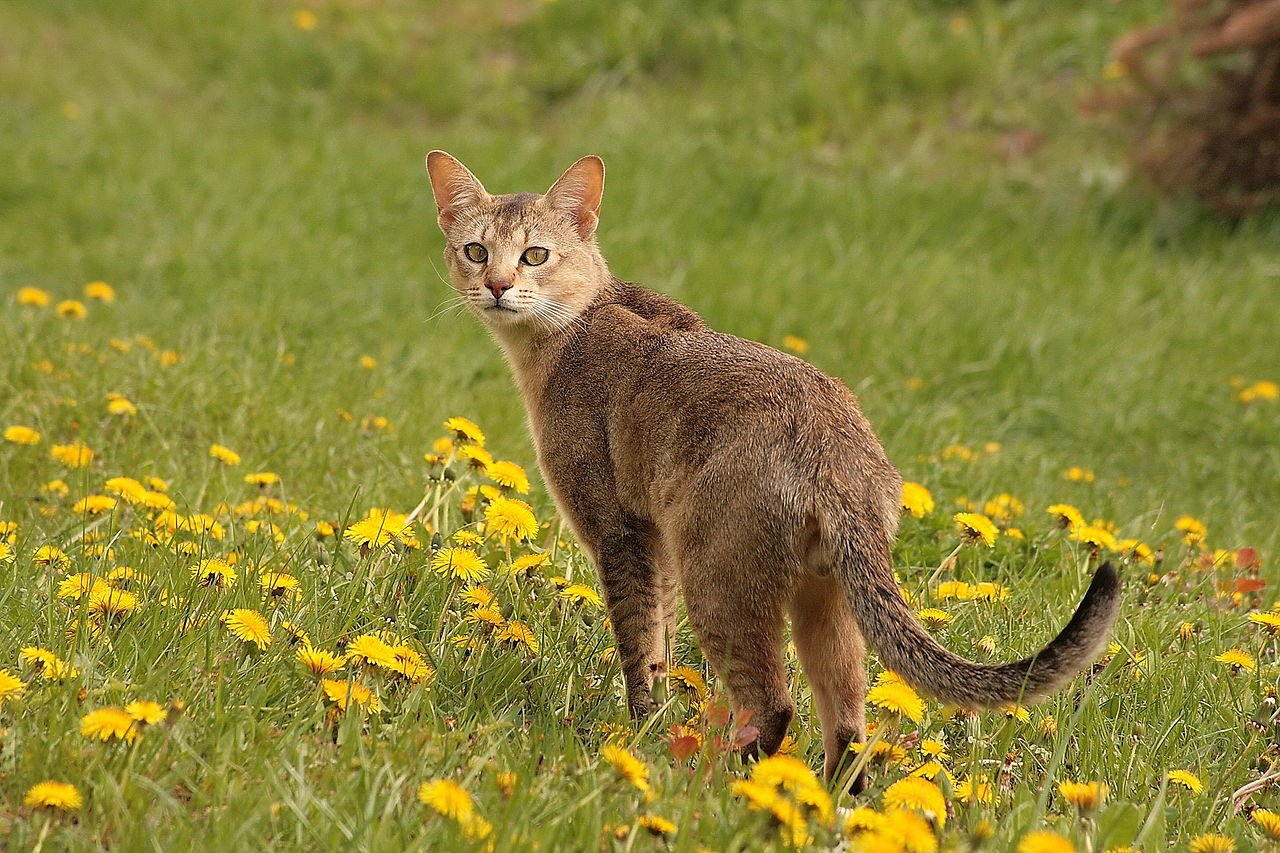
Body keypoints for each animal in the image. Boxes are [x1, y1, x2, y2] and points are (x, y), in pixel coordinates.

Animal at [424, 151, 1116, 783]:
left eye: (535, 255)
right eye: (477, 251)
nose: (496, 286)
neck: (574, 327)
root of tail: (835, 449)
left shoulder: (620, 532)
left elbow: (640, 646)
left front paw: (640, 734)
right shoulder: (656, 544)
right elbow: (661, 646)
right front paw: (656, 724)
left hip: (719, 576)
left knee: (774, 703)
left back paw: (720, 785)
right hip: (824, 596)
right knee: (849, 723)